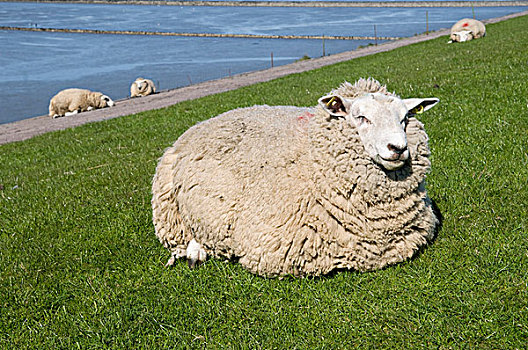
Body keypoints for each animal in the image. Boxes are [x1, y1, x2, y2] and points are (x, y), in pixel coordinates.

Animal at [151, 78, 440, 278]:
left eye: (405, 118)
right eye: (361, 117)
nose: (398, 148)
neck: (312, 157)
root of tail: (195, 127)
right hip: (170, 209)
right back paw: (195, 252)